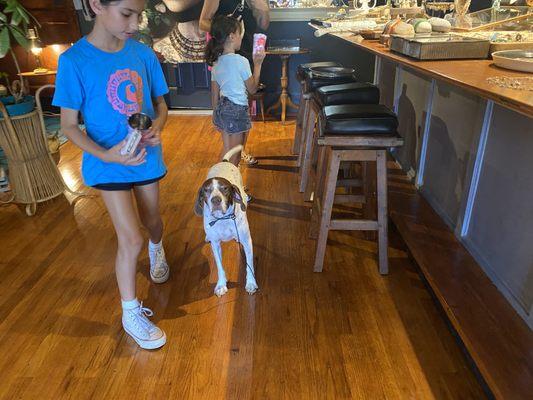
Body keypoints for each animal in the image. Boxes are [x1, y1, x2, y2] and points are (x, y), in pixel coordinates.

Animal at [193, 145, 258, 296]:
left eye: (225, 189)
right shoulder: (216, 245)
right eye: (206, 190)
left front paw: (251, 283)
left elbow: (249, 265)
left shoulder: (247, 241)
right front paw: (221, 284)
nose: (216, 200)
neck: (223, 219)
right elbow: (219, 266)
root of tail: (224, 161)